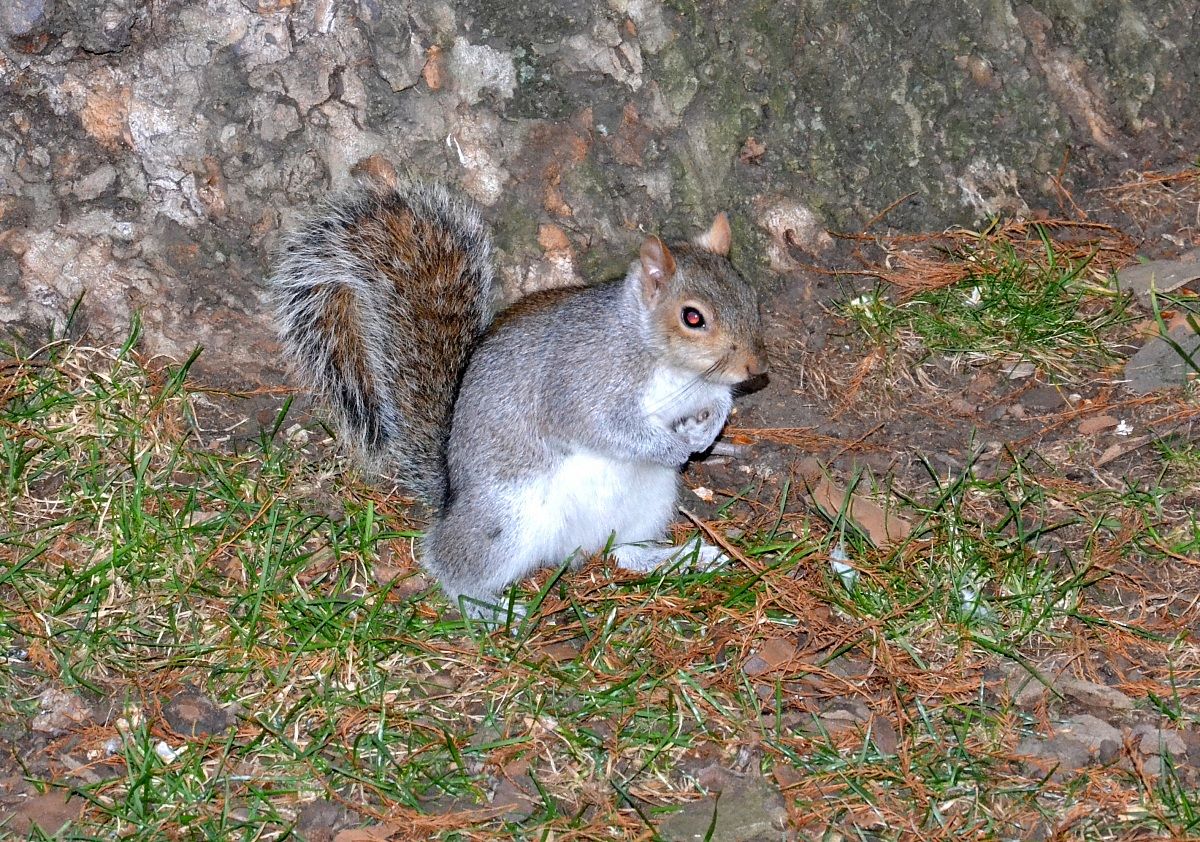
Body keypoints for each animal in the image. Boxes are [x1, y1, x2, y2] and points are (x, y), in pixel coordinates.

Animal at [271, 182, 767, 619]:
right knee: (450, 565)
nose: (754, 368)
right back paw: (488, 608)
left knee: (625, 553)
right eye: (692, 317)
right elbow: (604, 428)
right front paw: (674, 446)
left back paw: (685, 556)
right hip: (507, 518)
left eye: (750, 294)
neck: (675, 369)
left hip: (648, 505)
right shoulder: (578, 383)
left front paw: (707, 432)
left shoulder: (706, 388)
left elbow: (717, 402)